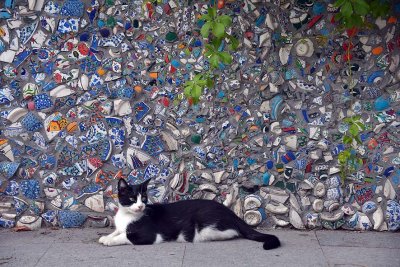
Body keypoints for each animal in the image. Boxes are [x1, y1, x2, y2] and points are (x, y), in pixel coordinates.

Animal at [99, 178, 282, 251]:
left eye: (143, 198)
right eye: (131, 198)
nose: (140, 206)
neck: (127, 216)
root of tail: (232, 213)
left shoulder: (150, 235)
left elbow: (126, 236)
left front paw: (110, 241)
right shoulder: (122, 225)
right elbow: (118, 231)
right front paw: (106, 236)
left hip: (204, 224)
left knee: (230, 232)